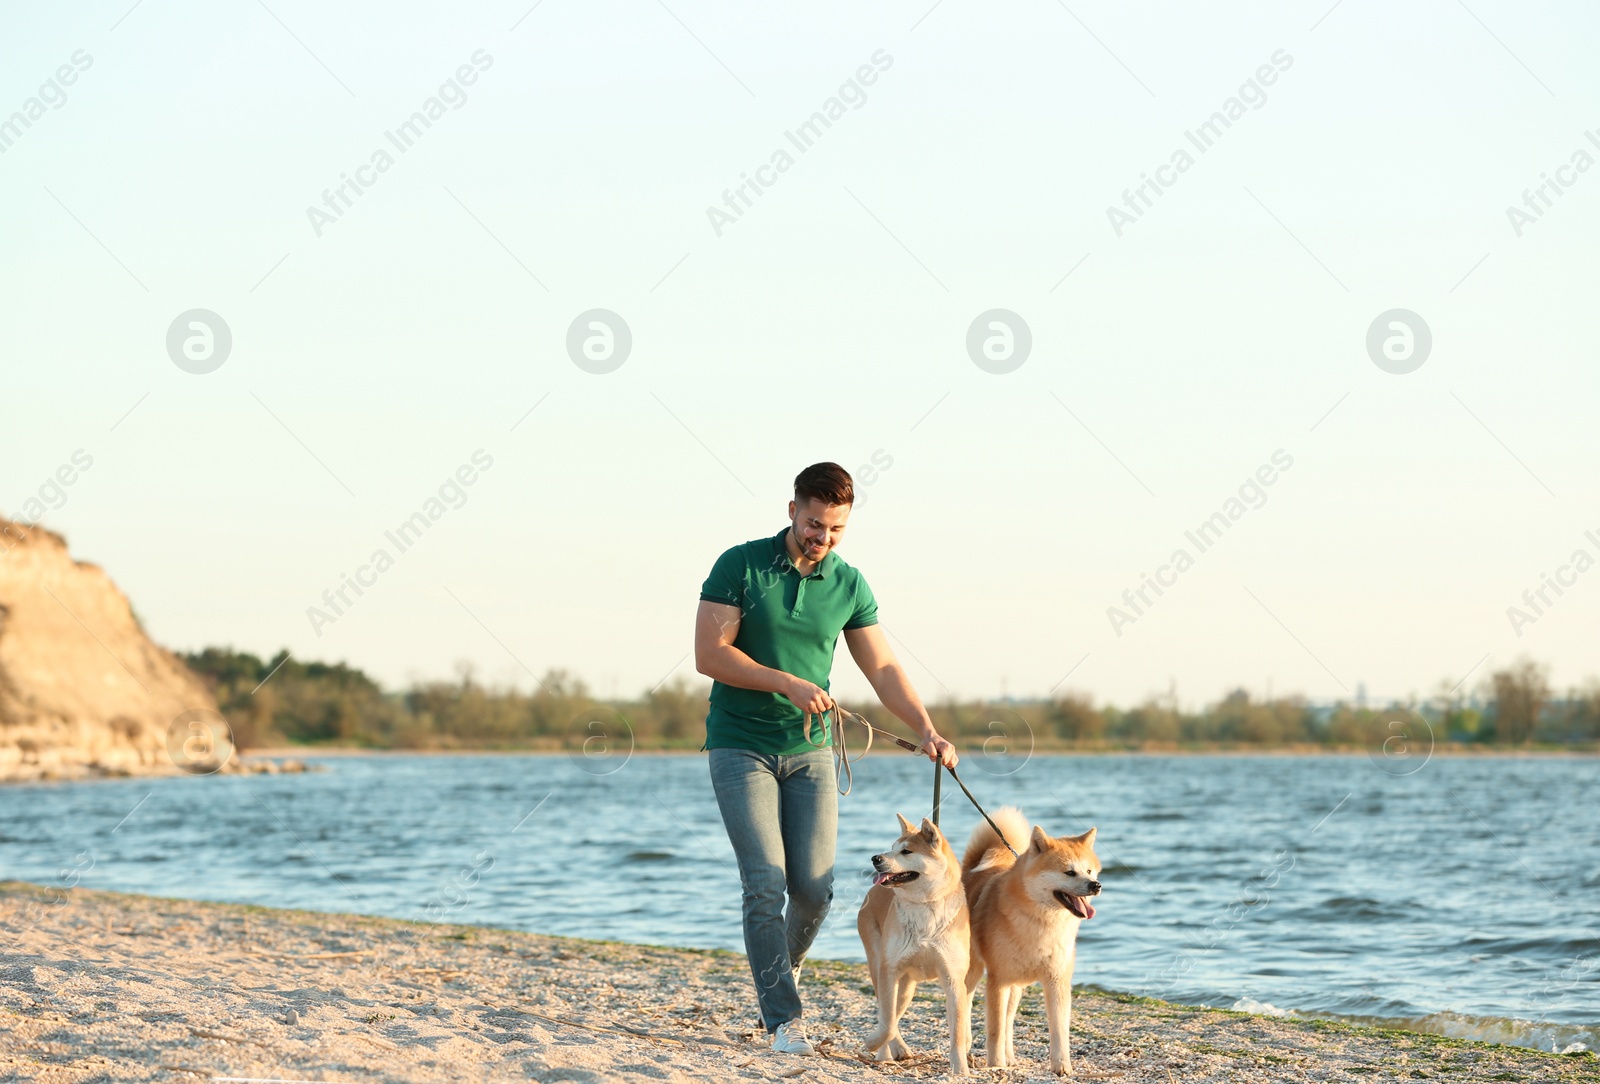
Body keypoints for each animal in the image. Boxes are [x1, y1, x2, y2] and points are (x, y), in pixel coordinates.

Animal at [864, 815, 972, 1080]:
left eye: (906, 851)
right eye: (892, 847)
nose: (875, 858)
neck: (925, 905)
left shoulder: (954, 980)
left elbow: (957, 1032)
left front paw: (960, 1069)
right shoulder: (889, 971)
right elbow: (887, 1023)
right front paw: (873, 1043)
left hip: (906, 988)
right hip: (881, 970)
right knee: (887, 1015)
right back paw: (885, 1054)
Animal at [960, 805, 1100, 1080]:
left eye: (1089, 870)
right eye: (1069, 872)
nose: (1095, 885)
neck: (1041, 924)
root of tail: (970, 873)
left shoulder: (1056, 980)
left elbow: (1059, 1029)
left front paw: (1062, 1065)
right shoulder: (997, 980)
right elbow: (994, 1029)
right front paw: (995, 1064)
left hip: (1015, 988)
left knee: (1008, 1022)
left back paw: (1011, 1057)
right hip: (974, 973)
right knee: (968, 1006)